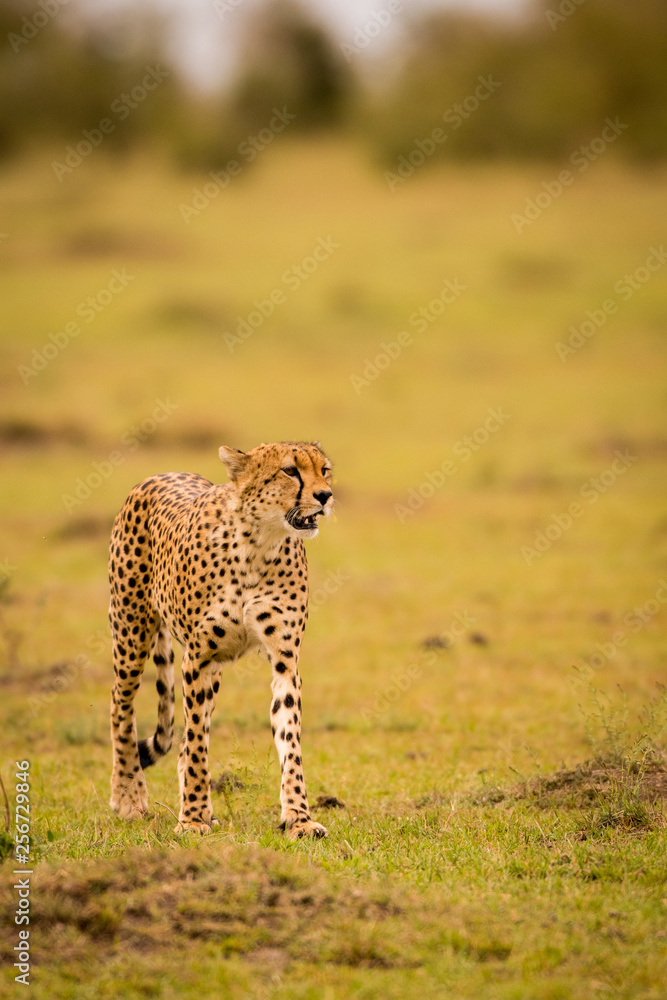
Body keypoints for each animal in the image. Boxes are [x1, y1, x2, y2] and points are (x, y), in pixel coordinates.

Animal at [108, 440, 334, 840]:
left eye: (324, 470)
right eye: (290, 471)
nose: (325, 495)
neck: (259, 543)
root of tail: (162, 473)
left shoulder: (284, 659)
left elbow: (289, 738)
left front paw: (299, 818)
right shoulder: (197, 660)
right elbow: (198, 741)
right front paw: (193, 818)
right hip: (131, 635)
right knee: (121, 708)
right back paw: (129, 796)